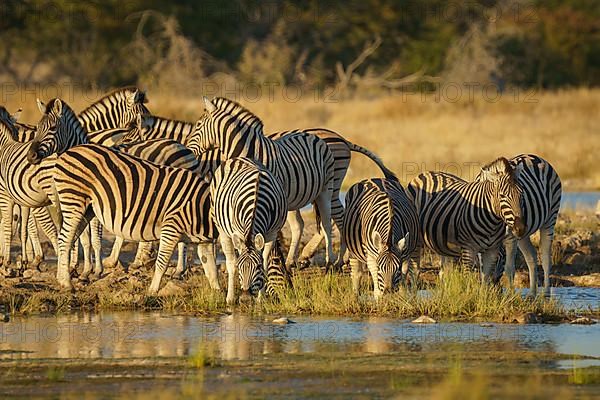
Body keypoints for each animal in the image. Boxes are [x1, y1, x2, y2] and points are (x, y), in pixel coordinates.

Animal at [51, 144, 219, 294]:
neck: (203, 208)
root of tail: (66, 153)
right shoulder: (171, 227)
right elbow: (162, 262)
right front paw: (152, 290)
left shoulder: (204, 241)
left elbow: (211, 269)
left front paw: (219, 295)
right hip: (74, 200)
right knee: (65, 239)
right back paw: (67, 284)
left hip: (87, 210)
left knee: (66, 239)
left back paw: (62, 278)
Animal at [196, 97, 340, 268]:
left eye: (198, 125)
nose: (188, 149)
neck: (250, 151)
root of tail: (314, 136)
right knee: (299, 225)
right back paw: (292, 261)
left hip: (326, 187)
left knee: (327, 222)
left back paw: (331, 261)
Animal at [210, 156, 288, 304]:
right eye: (240, 266)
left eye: (257, 267)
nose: (245, 299)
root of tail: (238, 158)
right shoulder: (239, 233)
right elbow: (234, 262)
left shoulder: (272, 233)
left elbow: (265, 261)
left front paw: (261, 299)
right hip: (221, 228)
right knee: (230, 261)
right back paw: (230, 298)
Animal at [474, 155, 564, 296]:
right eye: (502, 196)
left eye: (522, 195)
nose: (496, 291)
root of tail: (536, 157)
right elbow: (484, 270)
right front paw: (484, 294)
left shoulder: (510, 238)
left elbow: (509, 269)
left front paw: (510, 296)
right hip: (523, 235)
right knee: (531, 255)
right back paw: (532, 293)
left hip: (550, 218)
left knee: (545, 257)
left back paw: (545, 294)